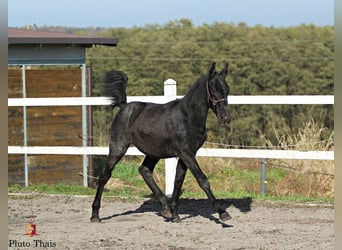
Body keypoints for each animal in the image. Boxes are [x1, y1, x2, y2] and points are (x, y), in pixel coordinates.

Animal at [90, 62, 232, 223]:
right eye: (213, 90)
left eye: (227, 89)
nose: (226, 118)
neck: (188, 116)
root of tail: (124, 106)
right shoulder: (186, 154)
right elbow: (202, 179)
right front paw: (222, 213)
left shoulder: (186, 155)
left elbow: (177, 182)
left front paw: (175, 215)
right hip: (118, 147)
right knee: (105, 176)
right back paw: (95, 215)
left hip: (153, 152)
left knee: (144, 171)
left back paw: (166, 209)